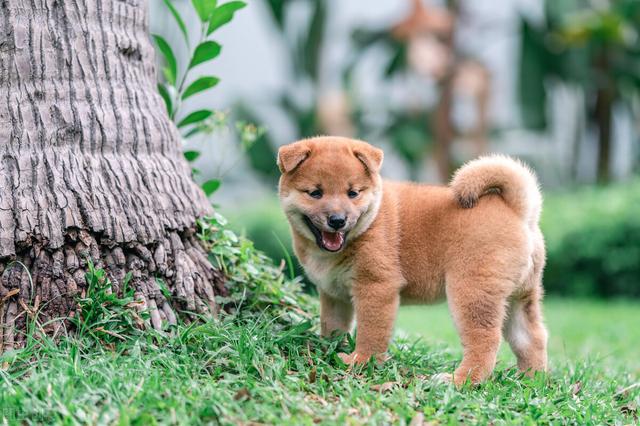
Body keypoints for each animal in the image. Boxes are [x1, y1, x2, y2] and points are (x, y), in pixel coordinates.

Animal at [278, 136, 548, 386]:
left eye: (353, 193)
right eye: (315, 193)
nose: (337, 220)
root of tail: (517, 211)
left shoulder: (376, 287)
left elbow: (370, 332)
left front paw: (360, 361)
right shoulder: (334, 295)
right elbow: (332, 326)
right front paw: (328, 349)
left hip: (472, 292)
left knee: (485, 340)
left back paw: (458, 380)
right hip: (519, 297)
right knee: (532, 338)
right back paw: (531, 379)